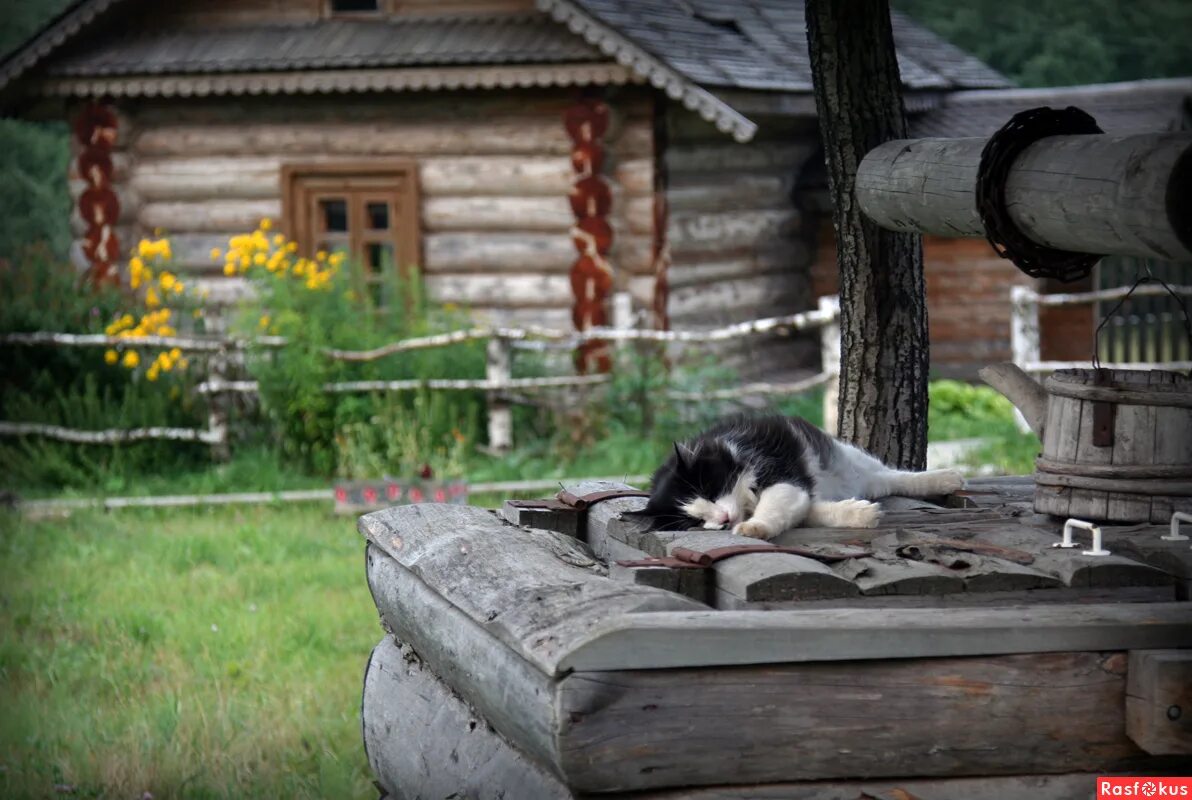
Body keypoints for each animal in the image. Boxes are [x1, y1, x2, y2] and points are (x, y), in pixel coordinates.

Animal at [634, 417, 967, 541]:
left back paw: (947, 478)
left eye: (709, 490)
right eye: (695, 521)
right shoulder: (799, 493)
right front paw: (859, 514)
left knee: (894, 475)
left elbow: (771, 508)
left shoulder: (780, 475)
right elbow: (813, 511)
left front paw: (753, 527)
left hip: (852, 458)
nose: (724, 519)